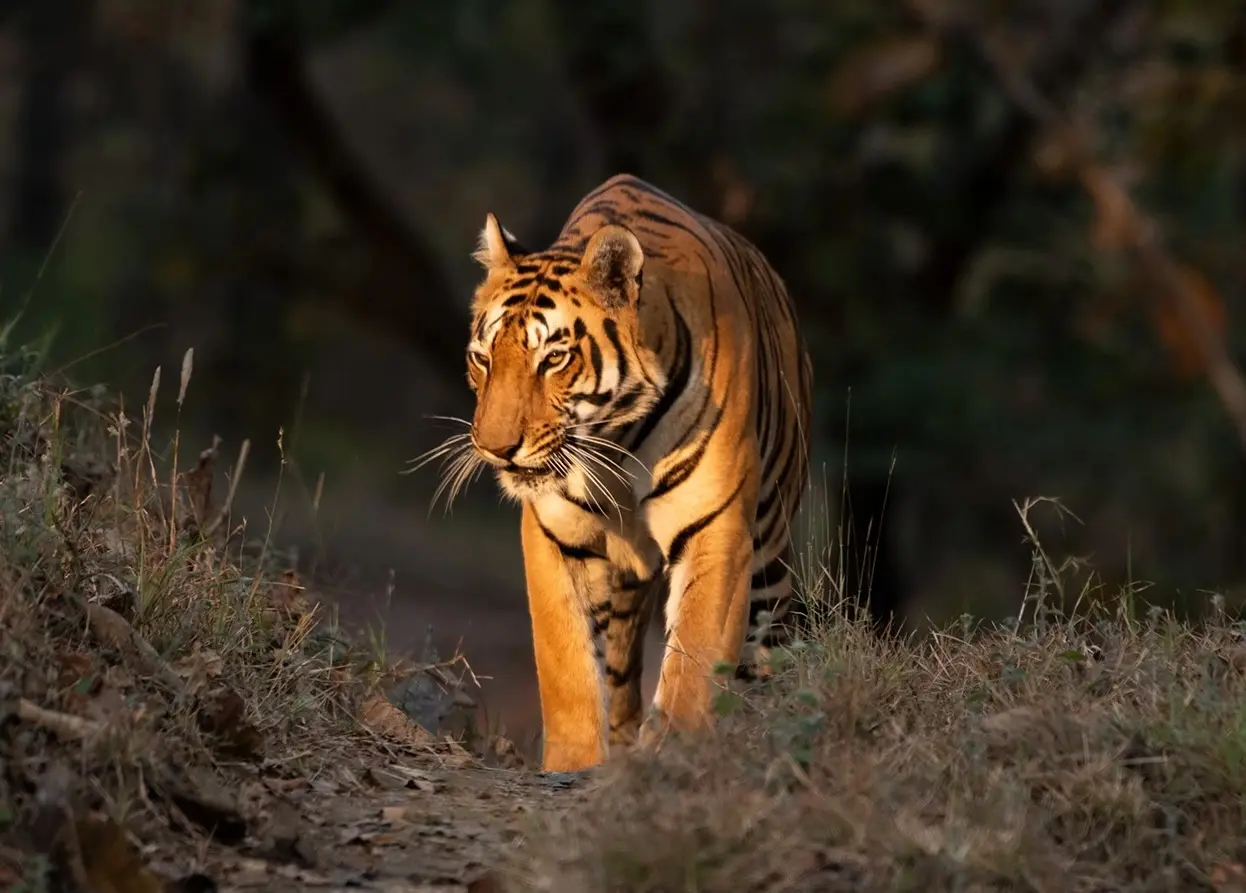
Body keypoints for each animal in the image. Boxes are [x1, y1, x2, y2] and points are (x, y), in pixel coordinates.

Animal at [428, 174, 813, 772]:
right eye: (483, 358)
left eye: (553, 359)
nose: (495, 449)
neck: (615, 439)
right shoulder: (553, 534)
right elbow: (567, 665)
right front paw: (576, 765)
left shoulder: (715, 525)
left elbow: (695, 654)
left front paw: (677, 750)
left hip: (769, 550)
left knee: (765, 648)